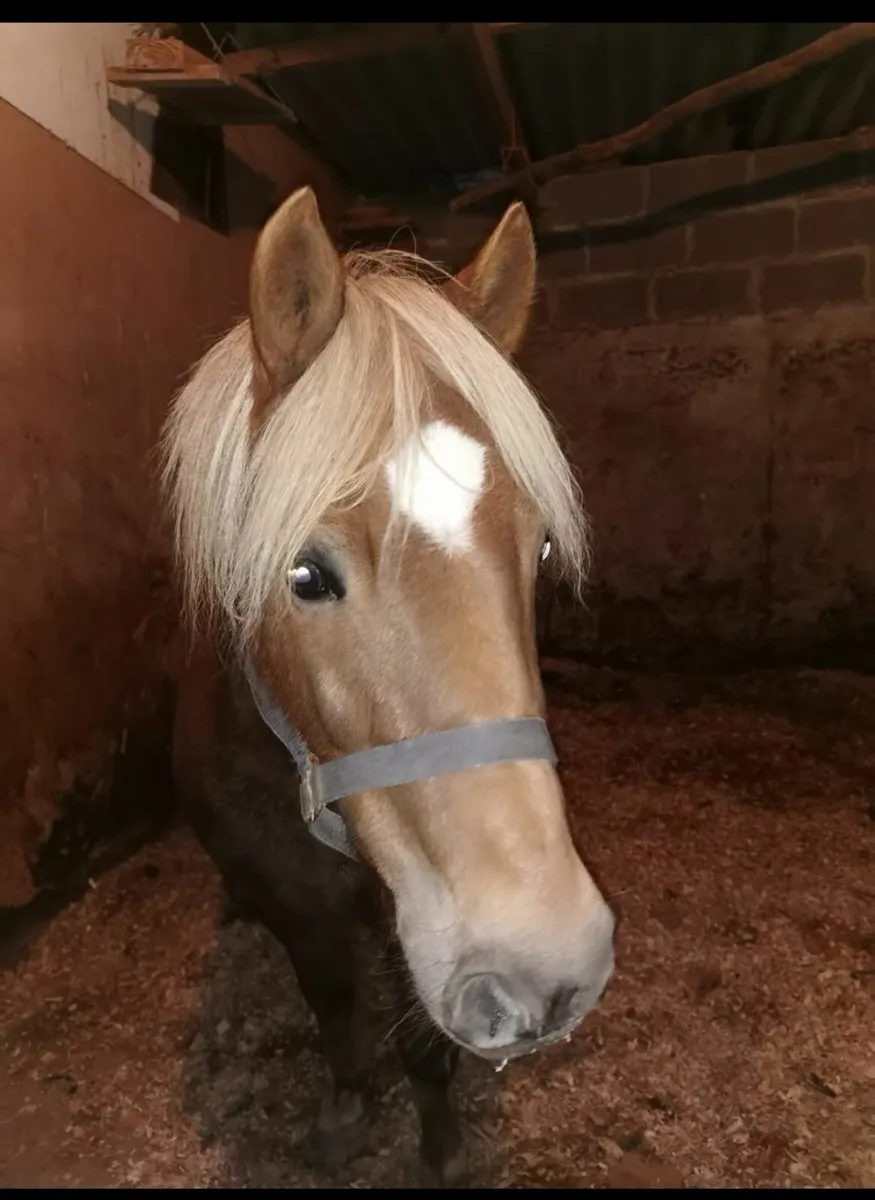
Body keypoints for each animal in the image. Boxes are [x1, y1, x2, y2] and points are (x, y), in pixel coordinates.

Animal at [163, 186, 616, 1186]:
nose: (548, 968)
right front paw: (344, 1111)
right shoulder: (301, 901)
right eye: (303, 573)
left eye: (541, 551)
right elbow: (334, 1007)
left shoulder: (411, 912)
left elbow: (420, 1044)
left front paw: (439, 1143)